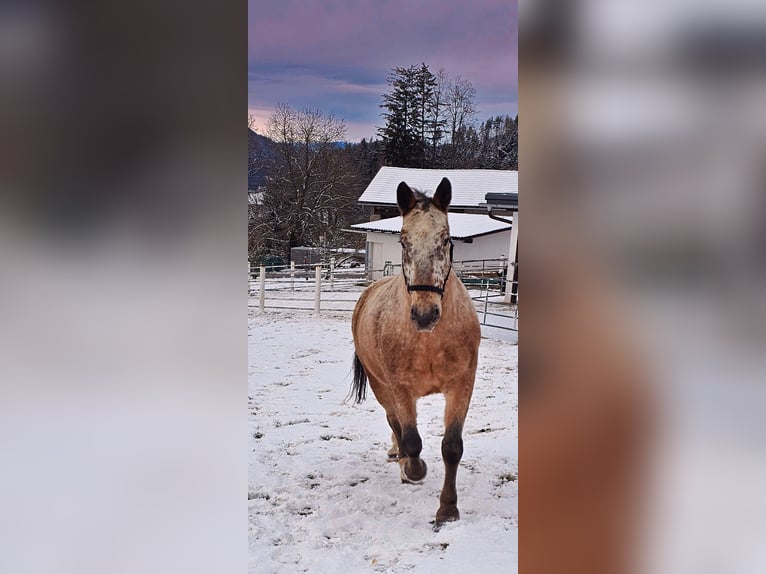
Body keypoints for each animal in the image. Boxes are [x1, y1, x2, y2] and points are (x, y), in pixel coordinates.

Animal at [350, 177, 481, 526]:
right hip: (381, 386)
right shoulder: (399, 388)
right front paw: (414, 469)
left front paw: (447, 509)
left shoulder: (462, 385)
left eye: (446, 240)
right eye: (403, 242)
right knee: (394, 422)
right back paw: (402, 462)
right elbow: (411, 439)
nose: (425, 315)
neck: (429, 342)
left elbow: (452, 447)